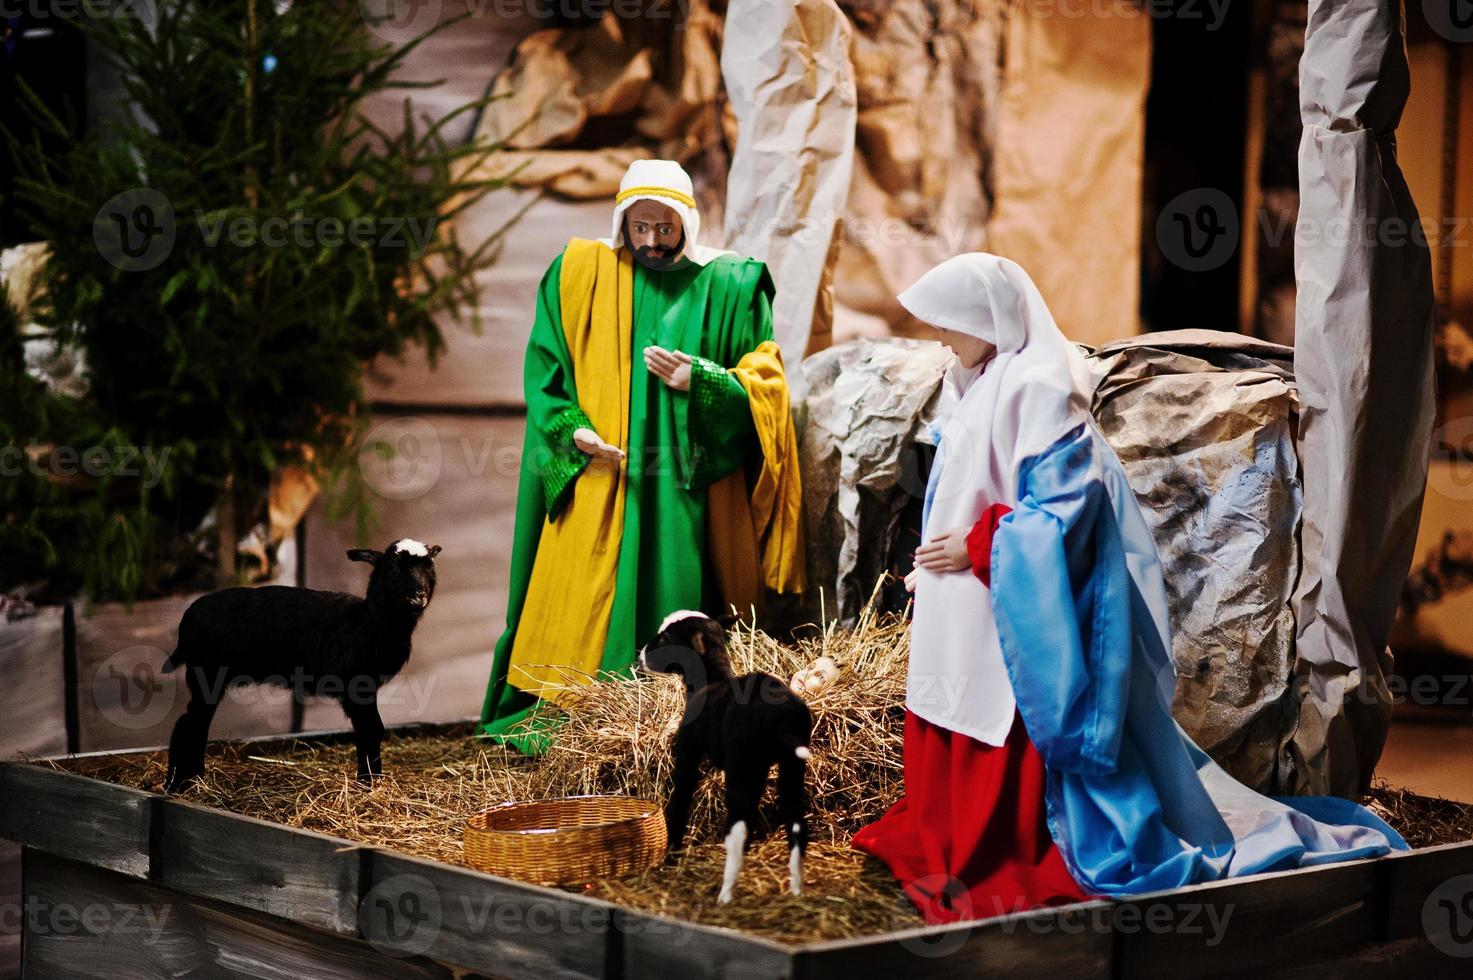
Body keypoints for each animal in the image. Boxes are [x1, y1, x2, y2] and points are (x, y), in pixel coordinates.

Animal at [162, 539, 438, 789]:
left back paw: (194, 777)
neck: (367, 623)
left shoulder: (367, 687)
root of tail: (187, 619)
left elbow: (376, 730)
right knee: (188, 723)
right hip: (205, 672)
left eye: (429, 568)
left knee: (197, 722)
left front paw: (374, 781)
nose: (419, 596)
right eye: (392, 569)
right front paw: (366, 783)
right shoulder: (355, 687)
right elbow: (369, 730)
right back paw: (177, 783)